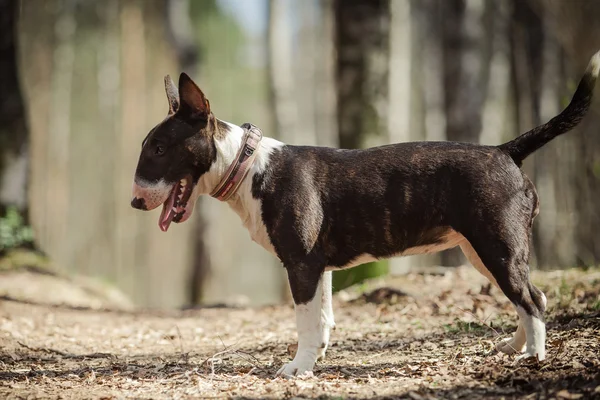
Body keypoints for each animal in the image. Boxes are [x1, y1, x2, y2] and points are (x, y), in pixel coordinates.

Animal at [132, 51, 600, 376]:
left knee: (531, 299)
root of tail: (505, 151)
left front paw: (297, 368)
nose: (135, 201)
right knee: (531, 296)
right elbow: (322, 317)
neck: (248, 166)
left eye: (159, 148)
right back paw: (515, 346)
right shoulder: (318, 266)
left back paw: (534, 356)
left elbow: (304, 320)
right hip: (480, 251)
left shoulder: (300, 264)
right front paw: (315, 360)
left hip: (497, 246)